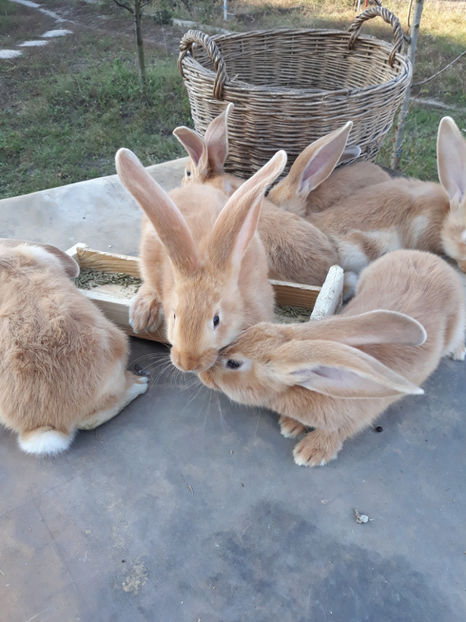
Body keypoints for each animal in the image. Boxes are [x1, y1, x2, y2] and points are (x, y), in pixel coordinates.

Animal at [199, 249, 462, 468]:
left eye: (234, 363)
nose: (204, 374)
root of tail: (432, 259)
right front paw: (290, 425)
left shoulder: (354, 419)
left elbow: (335, 433)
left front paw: (309, 454)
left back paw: (458, 352)